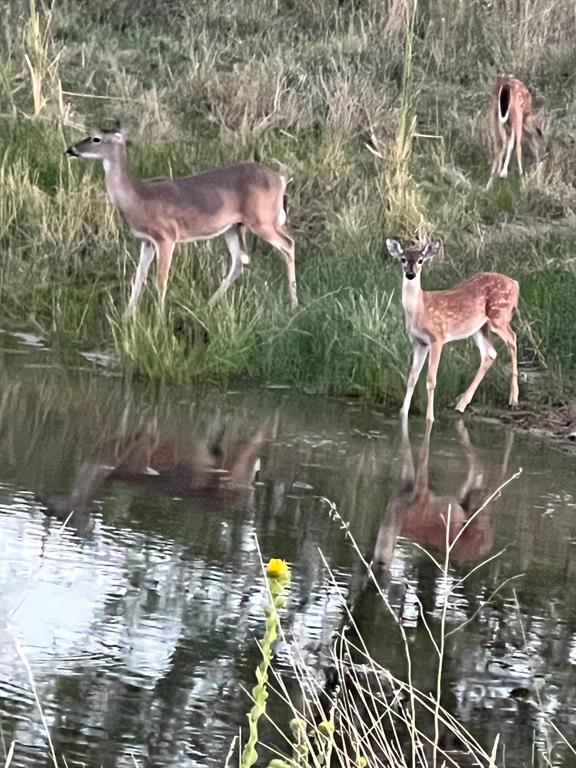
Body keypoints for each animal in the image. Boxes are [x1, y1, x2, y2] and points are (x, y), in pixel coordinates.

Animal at [66, 124, 296, 310]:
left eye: (95, 138)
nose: (71, 149)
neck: (138, 197)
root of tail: (280, 179)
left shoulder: (166, 236)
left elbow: (161, 280)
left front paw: (159, 319)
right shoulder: (146, 240)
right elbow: (139, 277)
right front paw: (127, 316)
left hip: (262, 219)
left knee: (288, 244)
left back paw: (294, 303)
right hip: (233, 226)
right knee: (239, 261)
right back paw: (208, 304)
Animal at [388, 238, 516, 424]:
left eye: (420, 260)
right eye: (403, 259)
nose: (410, 274)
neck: (420, 310)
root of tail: (516, 284)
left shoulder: (437, 337)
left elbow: (431, 380)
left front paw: (430, 418)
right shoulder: (419, 342)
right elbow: (412, 377)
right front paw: (403, 412)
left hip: (499, 316)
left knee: (512, 339)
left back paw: (514, 399)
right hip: (479, 328)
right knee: (490, 353)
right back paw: (461, 404)